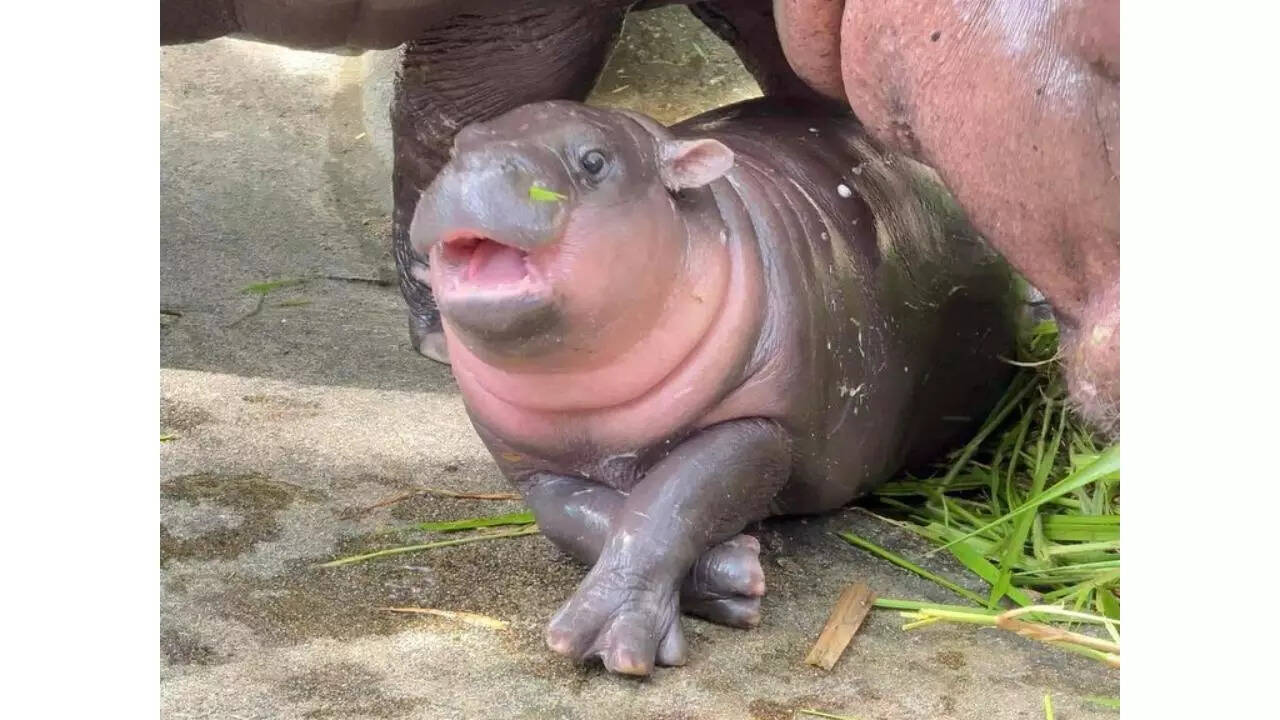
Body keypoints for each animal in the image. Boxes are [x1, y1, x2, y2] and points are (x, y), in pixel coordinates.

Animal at [408, 98, 1020, 675]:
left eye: (593, 161)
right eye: (458, 145)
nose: (476, 169)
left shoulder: (762, 424)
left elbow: (670, 498)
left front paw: (610, 642)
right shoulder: (530, 464)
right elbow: (577, 519)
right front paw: (735, 576)